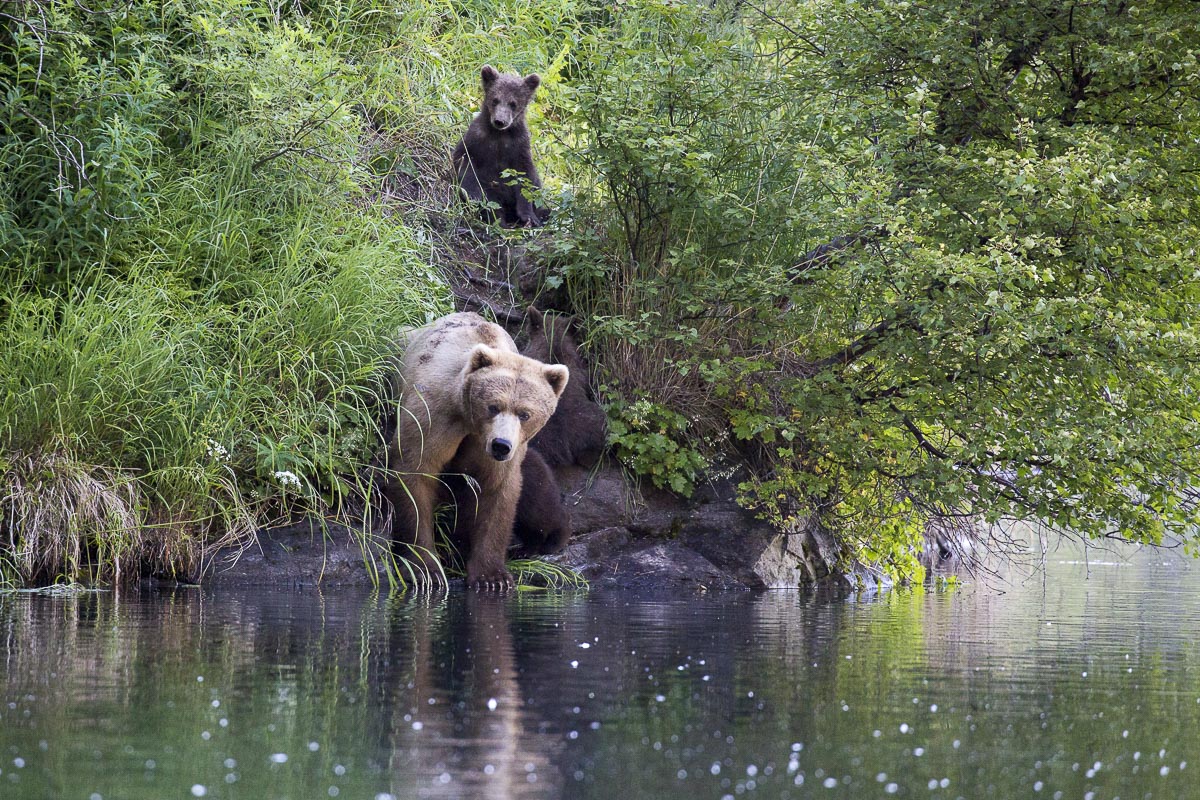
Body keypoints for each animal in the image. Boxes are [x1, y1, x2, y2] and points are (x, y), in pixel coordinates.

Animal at [383, 311, 568, 590]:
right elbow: (416, 474)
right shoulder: (435, 417)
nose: (501, 445)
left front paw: (492, 577)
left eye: (525, 414)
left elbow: (496, 493)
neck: (471, 423)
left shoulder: (499, 454)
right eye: (493, 406)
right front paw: (426, 568)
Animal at [452, 65, 547, 228]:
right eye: (495, 99)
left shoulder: (519, 145)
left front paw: (529, 216)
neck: (499, 135)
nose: (499, 121)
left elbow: (525, 177)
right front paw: (474, 196)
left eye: (513, 103)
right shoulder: (477, 140)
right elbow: (464, 163)